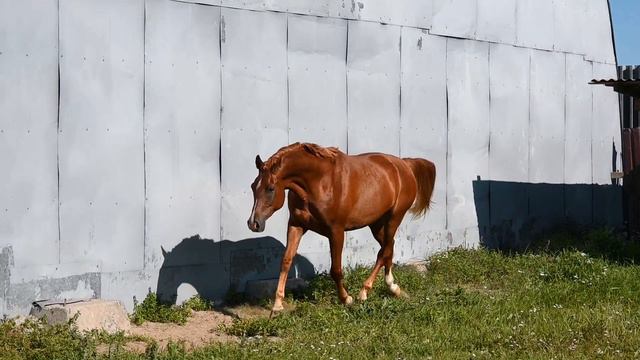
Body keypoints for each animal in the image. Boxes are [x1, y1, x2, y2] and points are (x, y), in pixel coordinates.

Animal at [245, 142, 436, 314]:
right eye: (253, 186)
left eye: (270, 188)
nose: (254, 223)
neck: (319, 182)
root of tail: (404, 165)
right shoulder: (296, 225)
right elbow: (286, 261)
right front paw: (277, 305)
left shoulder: (336, 231)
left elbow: (336, 269)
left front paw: (346, 298)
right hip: (377, 223)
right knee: (389, 247)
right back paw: (392, 287)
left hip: (394, 218)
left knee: (384, 251)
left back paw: (364, 291)